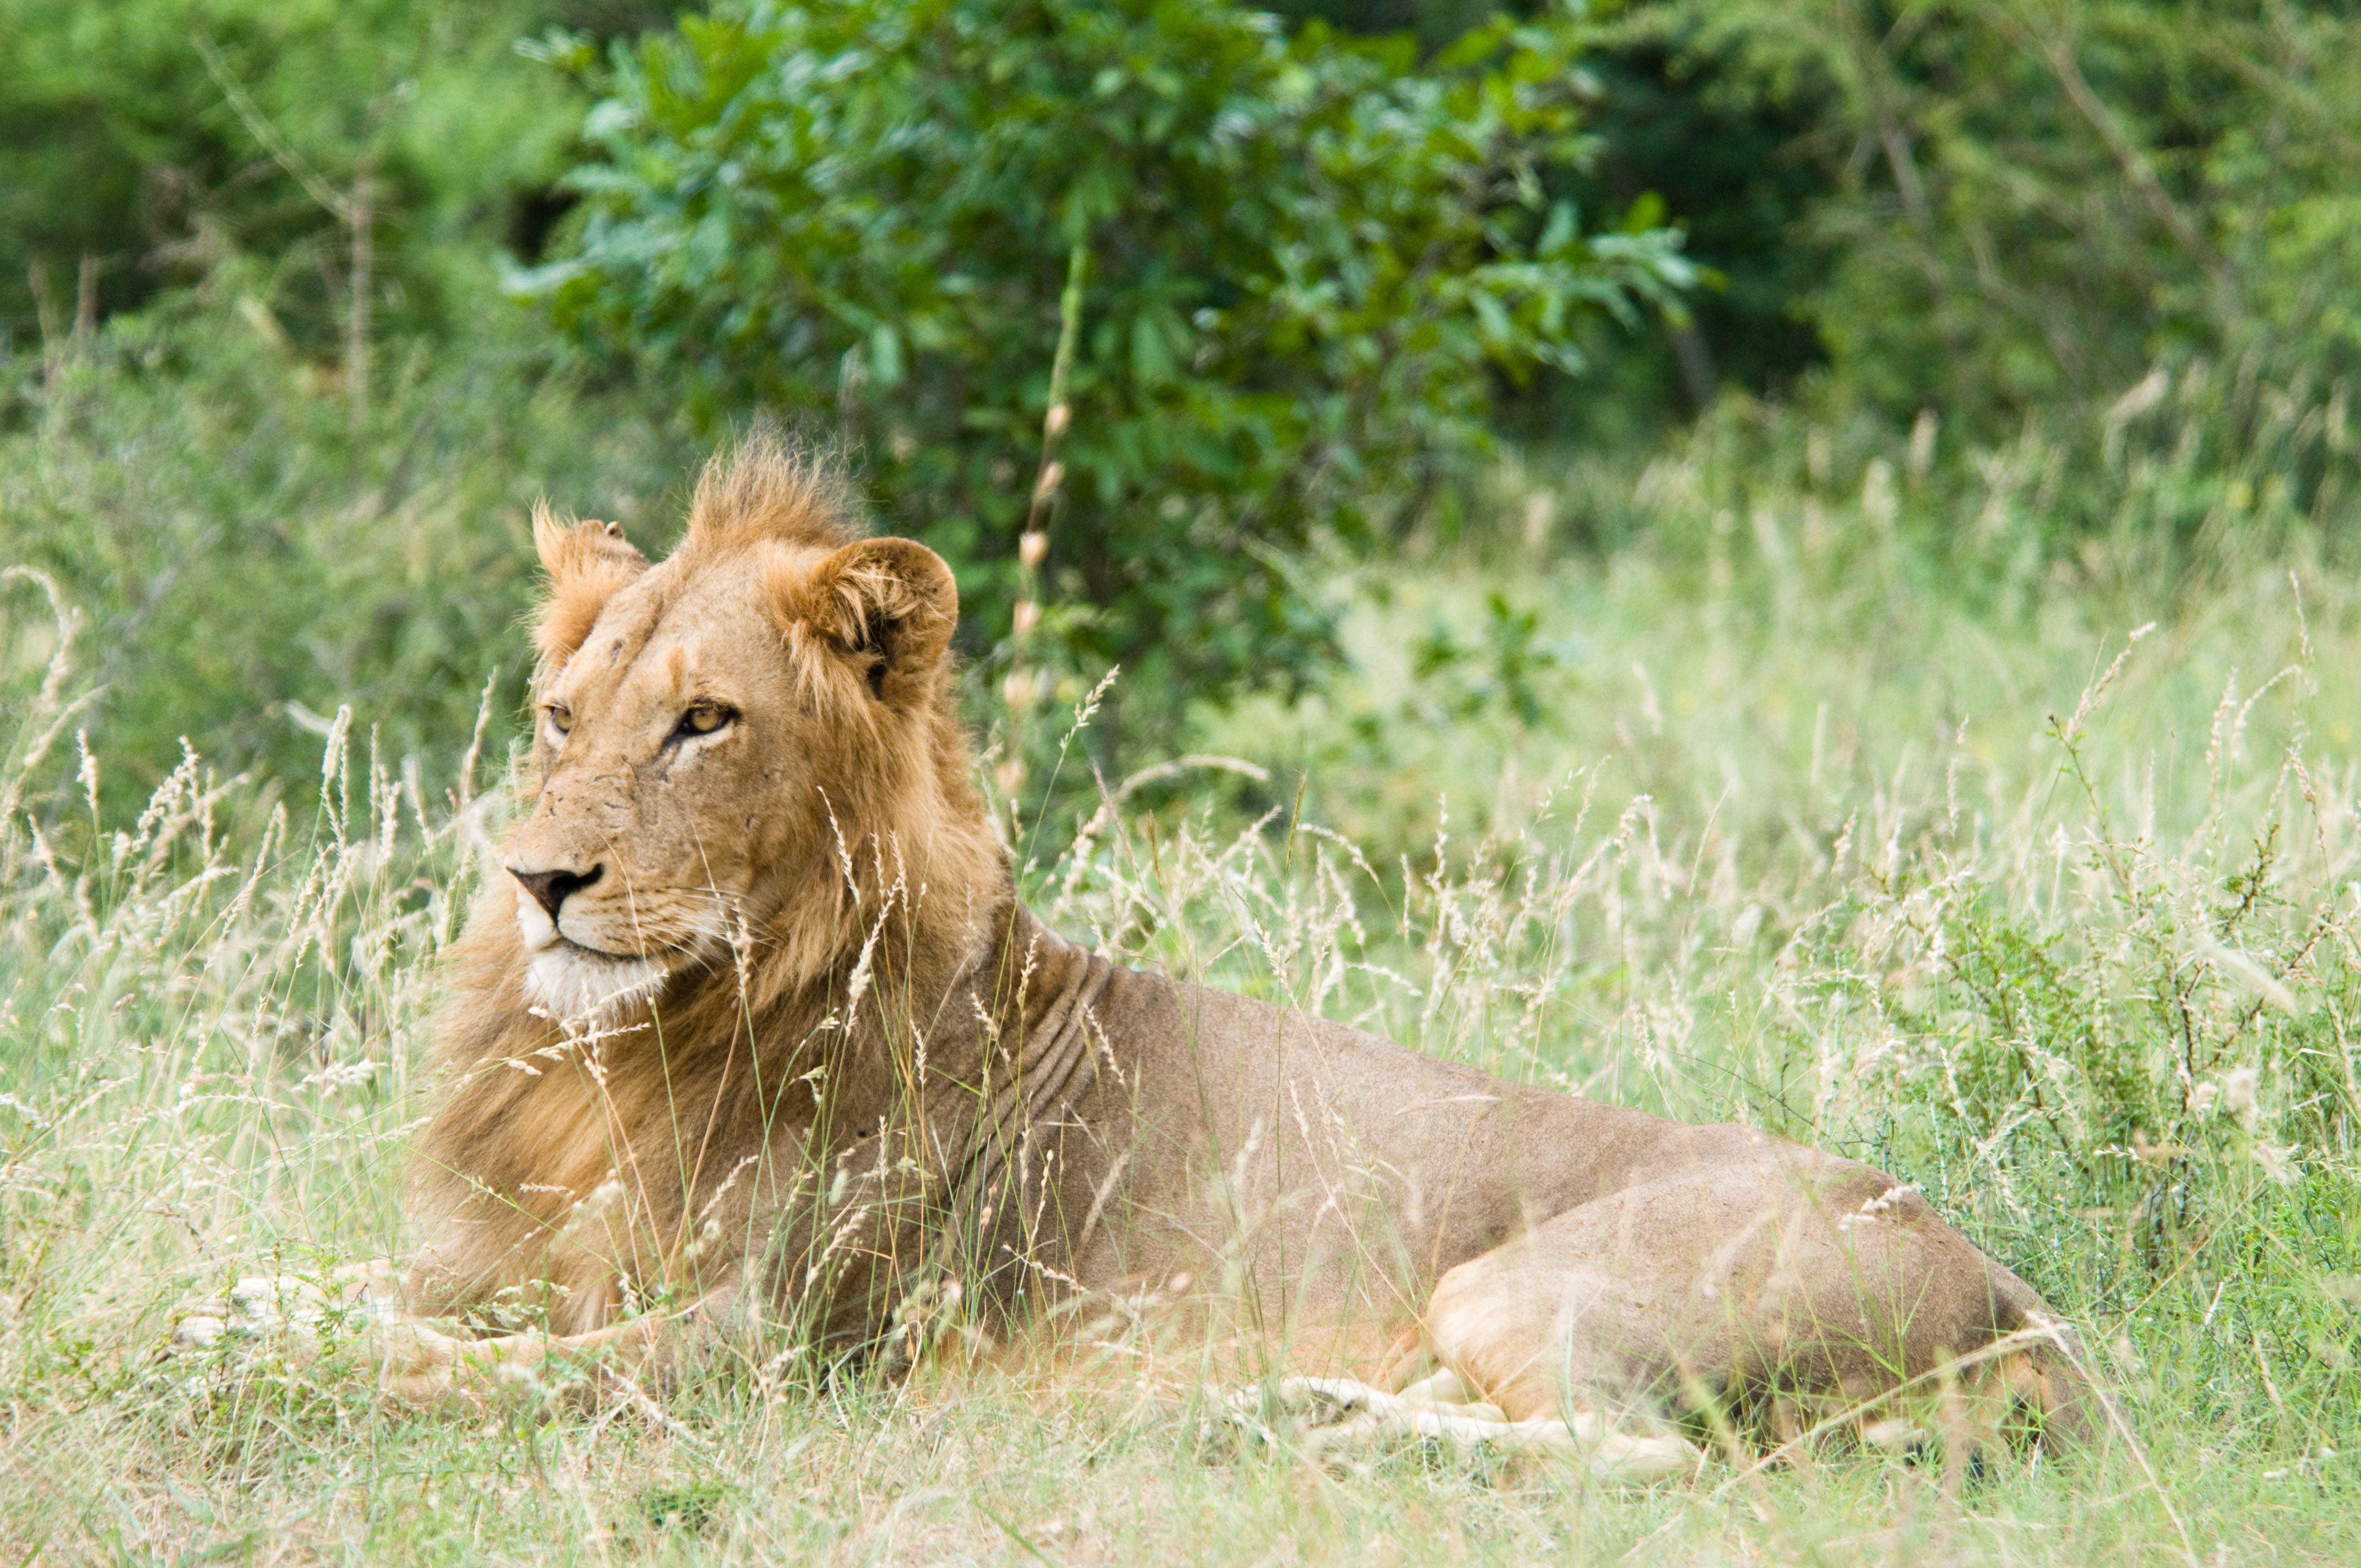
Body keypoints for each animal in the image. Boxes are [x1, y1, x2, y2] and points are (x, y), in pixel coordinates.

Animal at [218, 438, 2108, 1471]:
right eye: (559, 715)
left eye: (704, 723)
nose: (541, 879)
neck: (620, 1047)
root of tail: (2020, 1310)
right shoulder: (508, 1261)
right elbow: (355, 1294)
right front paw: (227, 1305)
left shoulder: (772, 1343)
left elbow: (444, 1367)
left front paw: (274, 1364)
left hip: (1525, 1285)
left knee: (1633, 1463)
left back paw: (1305, 1427)